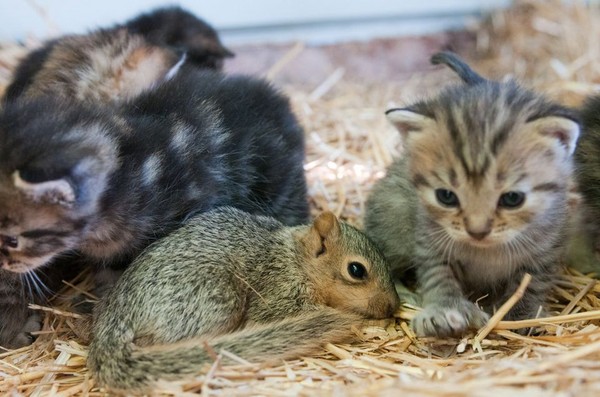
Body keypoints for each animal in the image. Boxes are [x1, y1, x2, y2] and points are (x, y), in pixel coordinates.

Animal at [88, 206, 398, 392]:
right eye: (356, 270)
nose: (393, 306)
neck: (296, 260)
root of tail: (114, 318)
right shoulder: (278, 294)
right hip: (215, 299)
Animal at [364, 51, 580, 338]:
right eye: (446, 196)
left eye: (513, 199)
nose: (477, 232)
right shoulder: (429, 241)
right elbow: (438, 275)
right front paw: (444, 310)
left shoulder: (547, 247)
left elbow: (531, 283)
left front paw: (520, 315)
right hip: (393, 218)